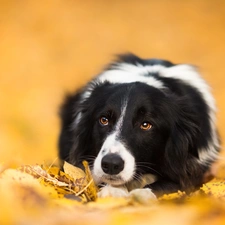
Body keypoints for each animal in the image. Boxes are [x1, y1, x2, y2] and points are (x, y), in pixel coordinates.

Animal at [58, 53, 220, 198]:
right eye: (103, 120)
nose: (111, 164)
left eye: (146, 124)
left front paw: (142, 194)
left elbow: (173, 184)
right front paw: (113, 191)